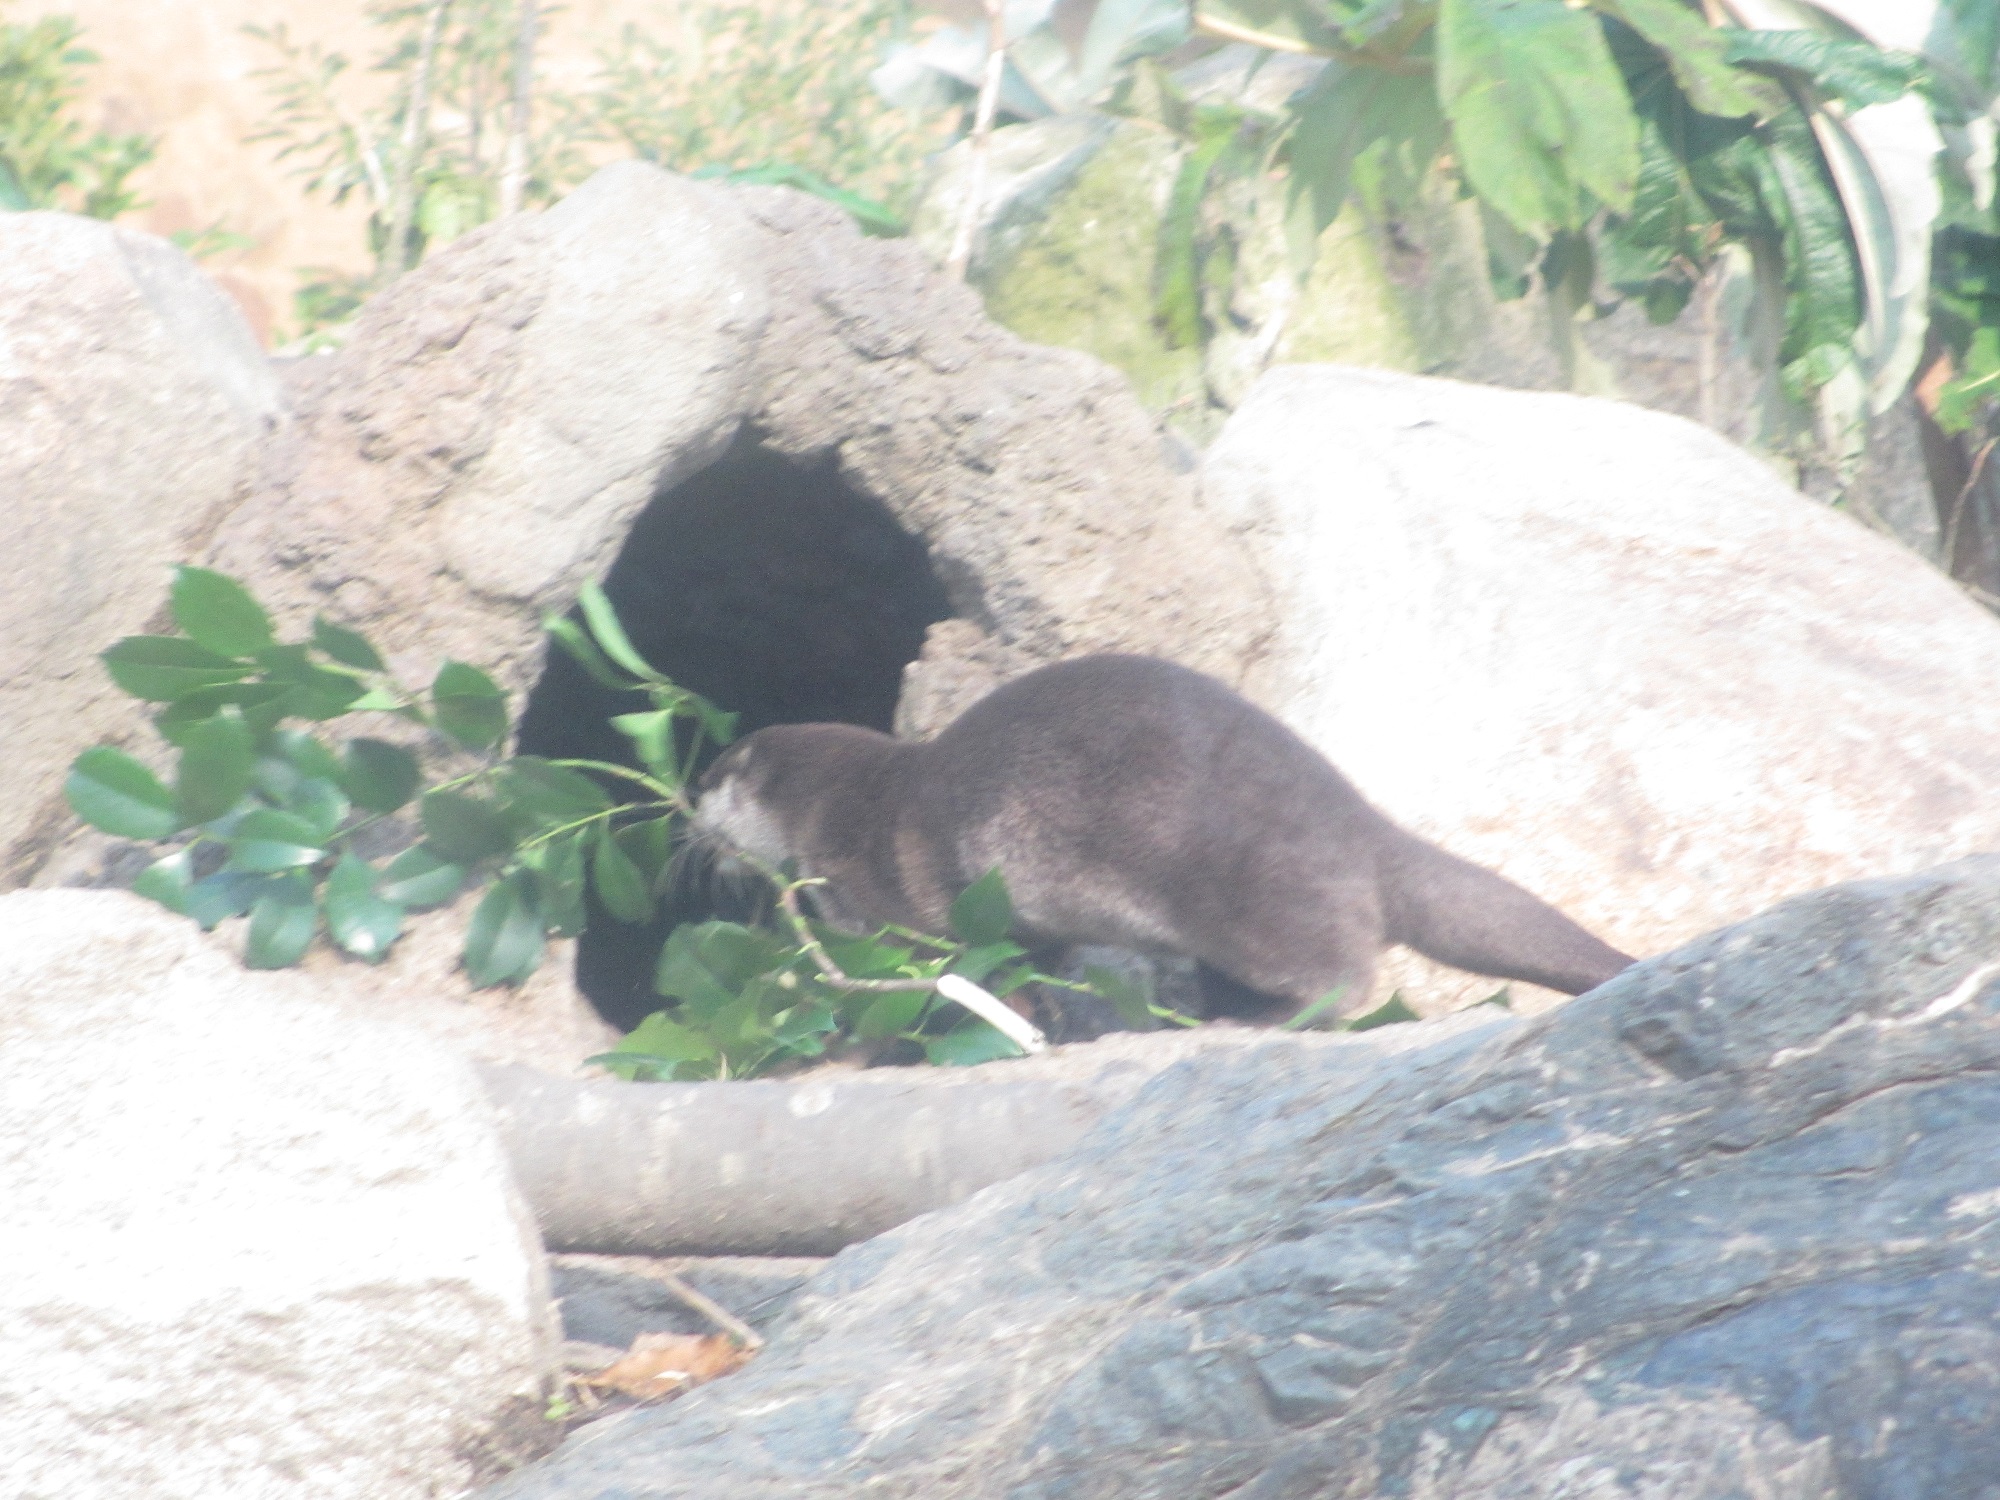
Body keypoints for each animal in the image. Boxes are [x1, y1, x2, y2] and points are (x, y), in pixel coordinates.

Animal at [696, 656, 1632, 1024]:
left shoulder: (870, 883)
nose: (687, 814)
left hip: (1242, 879)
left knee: (1343, 970)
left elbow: (910, 951)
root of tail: (1358, 823)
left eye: (708, 778)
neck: (849, 800)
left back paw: (1267, 1018)